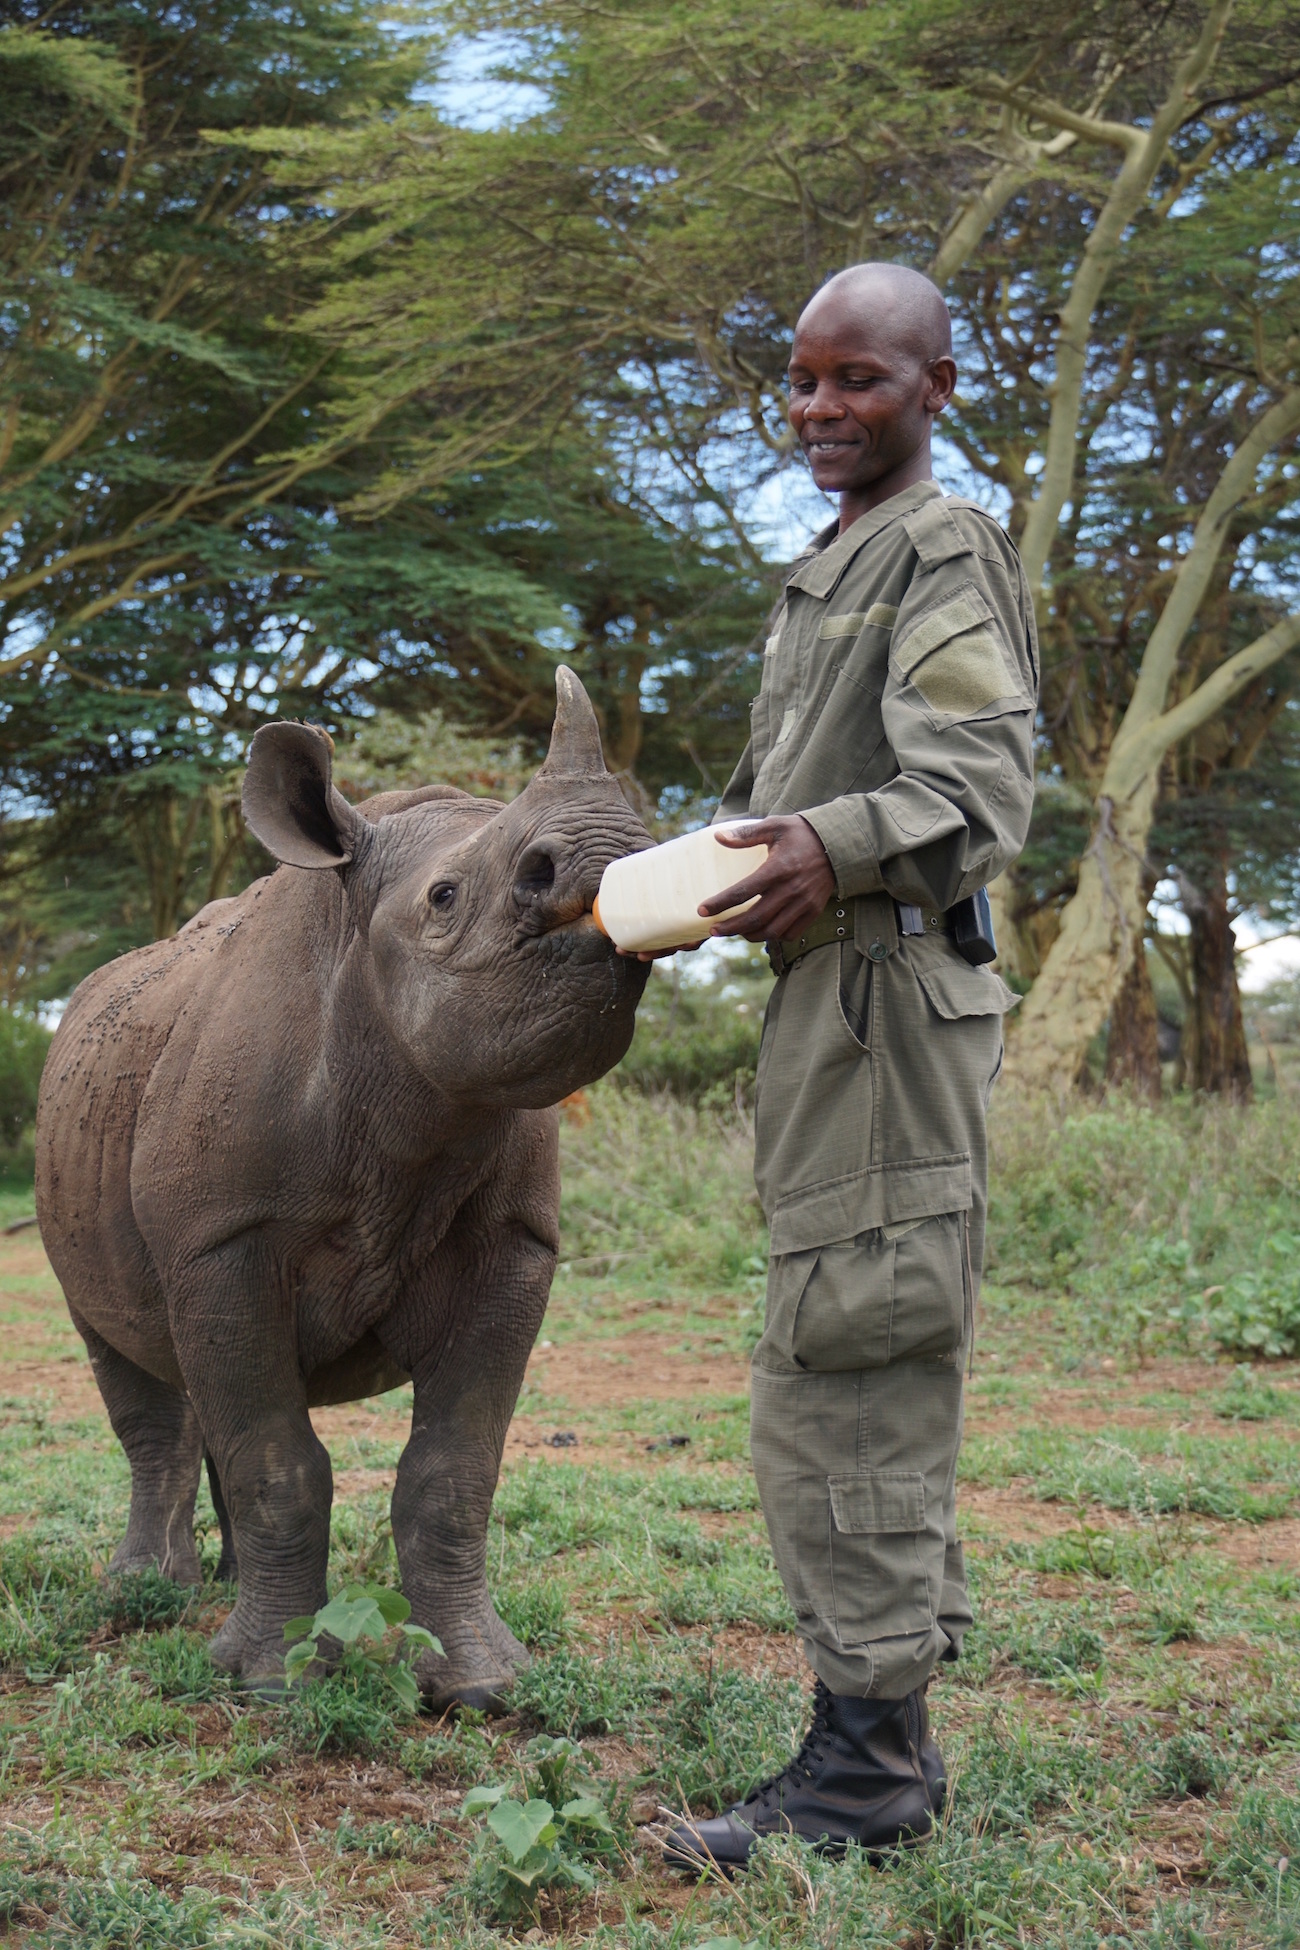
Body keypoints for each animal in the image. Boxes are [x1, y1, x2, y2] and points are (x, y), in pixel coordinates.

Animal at [35, 670, 650, 1708]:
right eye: (444, 896)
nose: (613, 854)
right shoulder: (223, 1238)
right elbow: (279, 1461)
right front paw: (270, 1685)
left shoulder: (516, 1242)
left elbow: (453, 1469)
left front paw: (481, 1685)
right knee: (130, 1363)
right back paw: (149, 1596)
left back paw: (224, 1586)